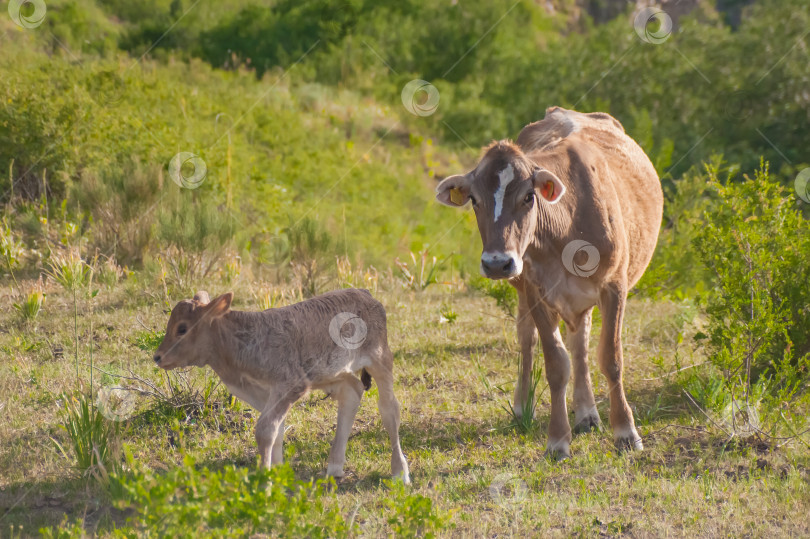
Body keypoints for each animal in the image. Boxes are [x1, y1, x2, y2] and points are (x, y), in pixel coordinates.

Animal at [436, 107, 664, 458]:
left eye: (529, 197)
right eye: (473, 199)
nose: (497, 262)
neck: (565, 229)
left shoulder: (614, 285)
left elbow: (610, 358)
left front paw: (626, 432)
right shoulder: (535, 290)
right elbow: (556, 364)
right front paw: (558, 440)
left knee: (581, 343)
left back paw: (587, 413)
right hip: (524, 290)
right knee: (528, 340)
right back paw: (523, 408)